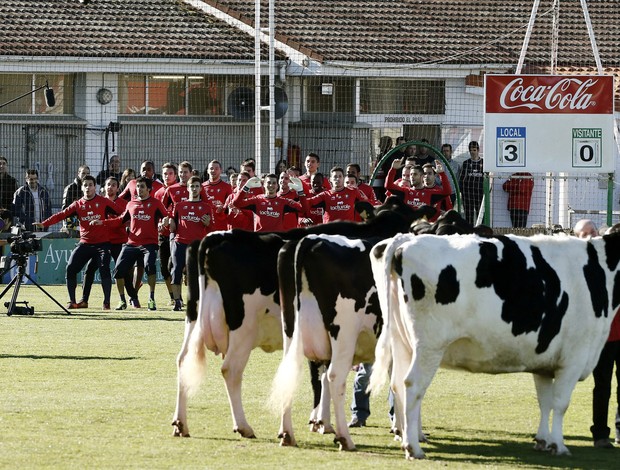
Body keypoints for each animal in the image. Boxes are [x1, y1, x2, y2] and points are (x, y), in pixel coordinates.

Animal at [172, 196, 424, 438]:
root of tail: (214, 237)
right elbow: (325, 376)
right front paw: (323, 422)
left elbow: (319, 376)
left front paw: (319, 421)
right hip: (244, 328)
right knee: (231, 370)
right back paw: (244, 426)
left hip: (194, 319)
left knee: (183, 360)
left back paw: (180, 423)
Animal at [368, 231, 620, 458]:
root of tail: (405, 241)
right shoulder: (574, 358)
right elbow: (560, 404)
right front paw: (559, 445)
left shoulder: (544, 361)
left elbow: (545, 402)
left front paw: (542, 440)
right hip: (429, 345)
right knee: (413, 385)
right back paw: (414, 448)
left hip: (402, 343)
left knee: (397, 384)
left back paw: (406, 438)